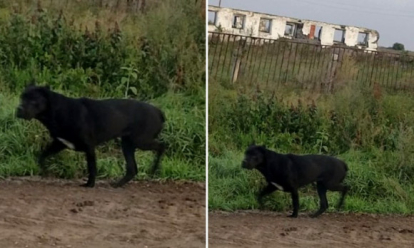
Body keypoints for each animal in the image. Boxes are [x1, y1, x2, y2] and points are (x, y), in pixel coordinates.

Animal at [16, 85, 165, 188]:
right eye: (22, 97)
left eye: (33, 100)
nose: (18, 109)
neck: (58, 110)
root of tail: (158, 111)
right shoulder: (59, 143)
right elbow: (42, 156)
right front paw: (45, 172)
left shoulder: (89, 146)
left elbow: (92, 167)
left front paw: (89, 184)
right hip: (128, 144)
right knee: (132, 169)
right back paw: (117, 185)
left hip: (141, 141)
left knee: (162, 146)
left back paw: (154, 169)